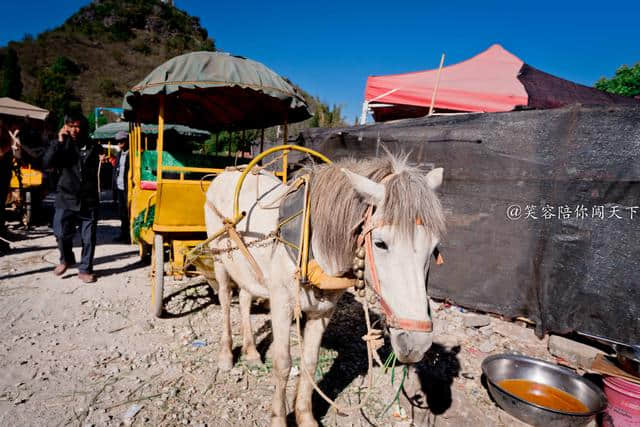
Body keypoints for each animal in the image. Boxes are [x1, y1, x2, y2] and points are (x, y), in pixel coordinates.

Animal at [205, 155, 444, 427]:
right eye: (380, 243)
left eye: (434, 247)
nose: (416, 343)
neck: (311, 244)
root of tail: (226, 172)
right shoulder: (281, 305)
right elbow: (283, 364)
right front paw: (279, 417)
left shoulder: (323, 312)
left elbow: (309, 362)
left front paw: (305, 416)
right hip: (220, 259)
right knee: (226, 300)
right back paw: (226, 355)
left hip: (248, 269)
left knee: (245, 298)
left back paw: (252, 352)